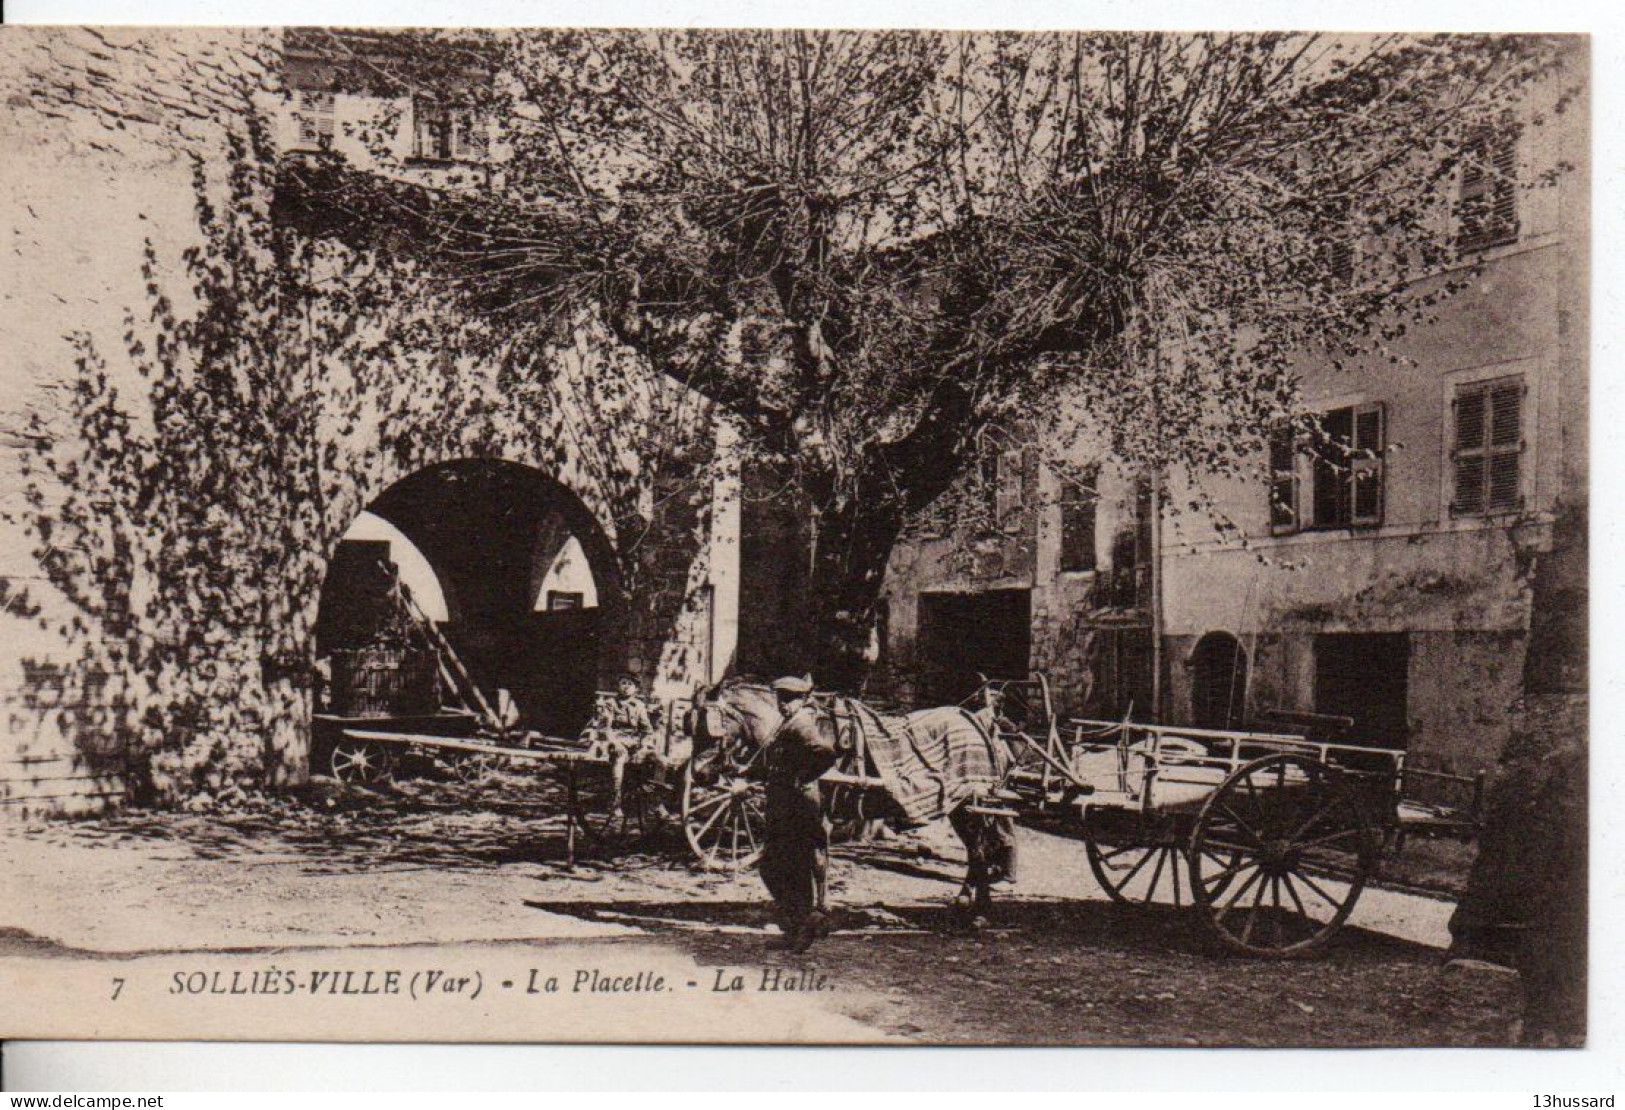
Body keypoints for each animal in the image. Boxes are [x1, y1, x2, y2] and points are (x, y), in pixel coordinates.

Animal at [692, 676, 1020, 929]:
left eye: (711, 727)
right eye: (689, 726)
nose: (699, 774)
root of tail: (979, 722)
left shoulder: (818, 813)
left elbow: (818, 860)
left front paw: (819, 909)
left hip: (969, 806)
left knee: (979, 853)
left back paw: (979, 911)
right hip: (960, 807)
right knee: (977, 852)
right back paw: (969, 902)